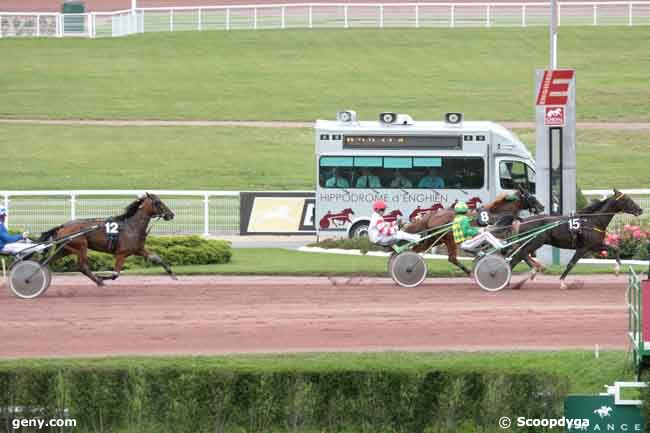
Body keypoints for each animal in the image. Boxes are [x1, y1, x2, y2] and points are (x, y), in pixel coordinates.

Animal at [37, 192, 175, 286]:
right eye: (158, 202)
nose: (171, 214)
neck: (131, 226)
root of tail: (62, 226)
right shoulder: (121, 253)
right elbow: (115, 274)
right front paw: (102, 277)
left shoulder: (138, 249)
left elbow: (157, 258)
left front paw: (173, 275)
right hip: (81, 246)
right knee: (82, 266)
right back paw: (99, 281)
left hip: (65, 249)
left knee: (46, 262)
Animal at [400, 185, 540, 274]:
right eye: (531, 197)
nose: (542, 206)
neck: (498, 214)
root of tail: (432, 215)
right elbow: (516, 249)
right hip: (449, 239)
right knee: (451, 258)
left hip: (435, 239)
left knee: (415, 250)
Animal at [508, 187, 640, 288]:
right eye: (626, 199)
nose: (640, 209)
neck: (592, 221)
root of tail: (522, 221)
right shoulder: (583, 248)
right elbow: (571, 264)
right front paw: (562, 282)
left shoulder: (595, 246)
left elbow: (615, 248)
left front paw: (617, 270)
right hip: (535, 241)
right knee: (520, 255)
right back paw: (528, 273)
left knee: (517, 257)